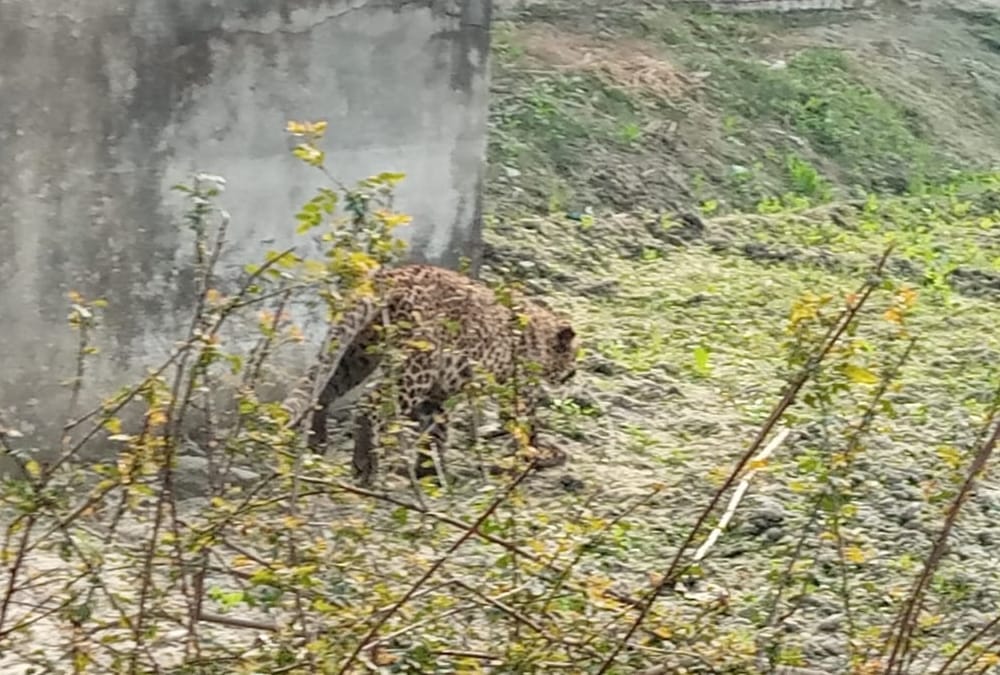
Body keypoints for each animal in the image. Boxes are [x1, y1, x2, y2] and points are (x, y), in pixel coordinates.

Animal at [281, 263, 578, 485]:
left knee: (325, 390)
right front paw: (539, 454)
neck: (542, 333)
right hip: (416, 365)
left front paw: (431, 473)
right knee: (370, 405)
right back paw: (365, 469)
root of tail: (391, 275)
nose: (572, 375)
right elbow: (526, 425)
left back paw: (317, 444)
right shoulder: (520, 390)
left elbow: (436, 431)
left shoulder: (438, 394)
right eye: (573, 357)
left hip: (358, 354)